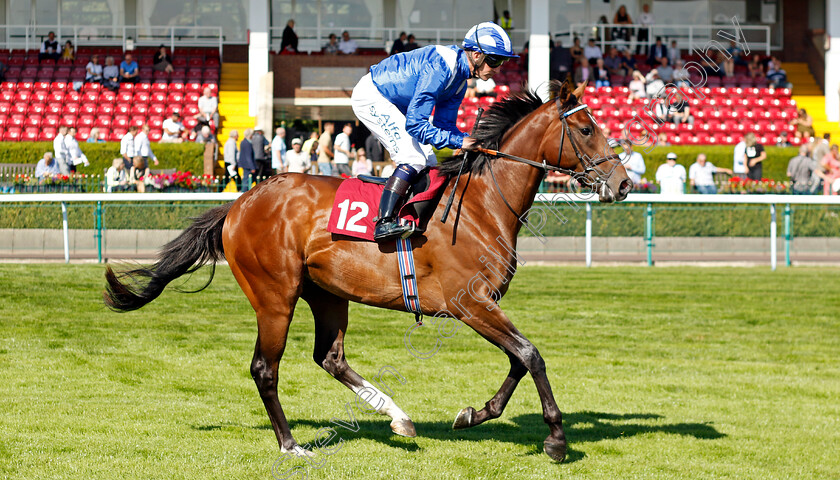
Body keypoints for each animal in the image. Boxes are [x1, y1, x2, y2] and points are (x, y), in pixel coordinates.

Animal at [103, 79, 632, 462]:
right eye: (587, 129)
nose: (623, 183)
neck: (482, 205)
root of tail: (240, 202)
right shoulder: (470, 304)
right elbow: (530, 355)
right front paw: (556, 438)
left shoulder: (484, 305)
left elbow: (518, 360)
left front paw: (474, 413)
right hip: (275, 295)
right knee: (265, 369)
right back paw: (291, 444)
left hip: (327, 293)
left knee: (330, 357)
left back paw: (399, 418)